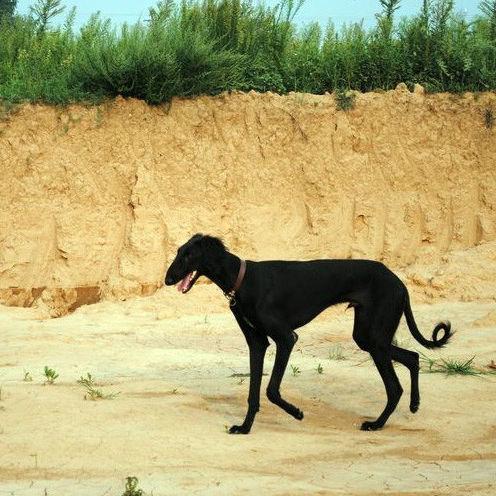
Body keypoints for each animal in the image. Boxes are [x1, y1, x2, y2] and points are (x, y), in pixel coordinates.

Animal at [165, 234, 452, 432]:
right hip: (368, 337)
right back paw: (414, 405)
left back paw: (376, 424)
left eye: (188, 256)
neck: (242, 280)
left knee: (394, 387)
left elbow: (271, 390)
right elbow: (253, 393)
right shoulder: (257, 343)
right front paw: (245, 428)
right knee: (413, 357)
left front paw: (297, 413)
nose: (167, 279)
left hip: (375, 338)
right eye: (178, 252)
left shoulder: (286, 339)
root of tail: (399, 282)